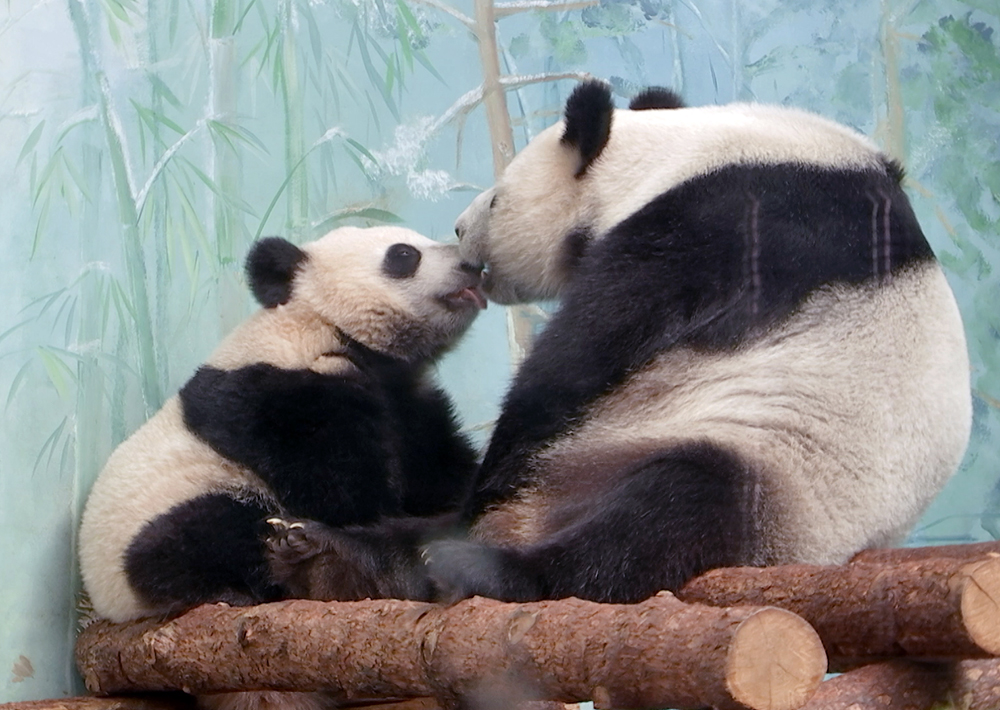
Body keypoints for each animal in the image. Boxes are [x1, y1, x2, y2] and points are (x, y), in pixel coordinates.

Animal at [77, 227, 484, 624]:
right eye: (403, 254)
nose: (473, 264)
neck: (324, 326)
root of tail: (107, 606)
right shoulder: (283, 396)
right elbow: (338, 487)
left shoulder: (409, 399)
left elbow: (435, 461)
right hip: (172, 508)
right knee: (195, 537)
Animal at [264, 82, 968, 608]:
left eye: (495, 199)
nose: (460, 232)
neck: (681, 152)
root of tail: (538, 516)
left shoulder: (740, 217)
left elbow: (590, 348)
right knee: (439, 521)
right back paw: (339, 550)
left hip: (782, 474)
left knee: (674, 510)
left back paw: (485, 570)